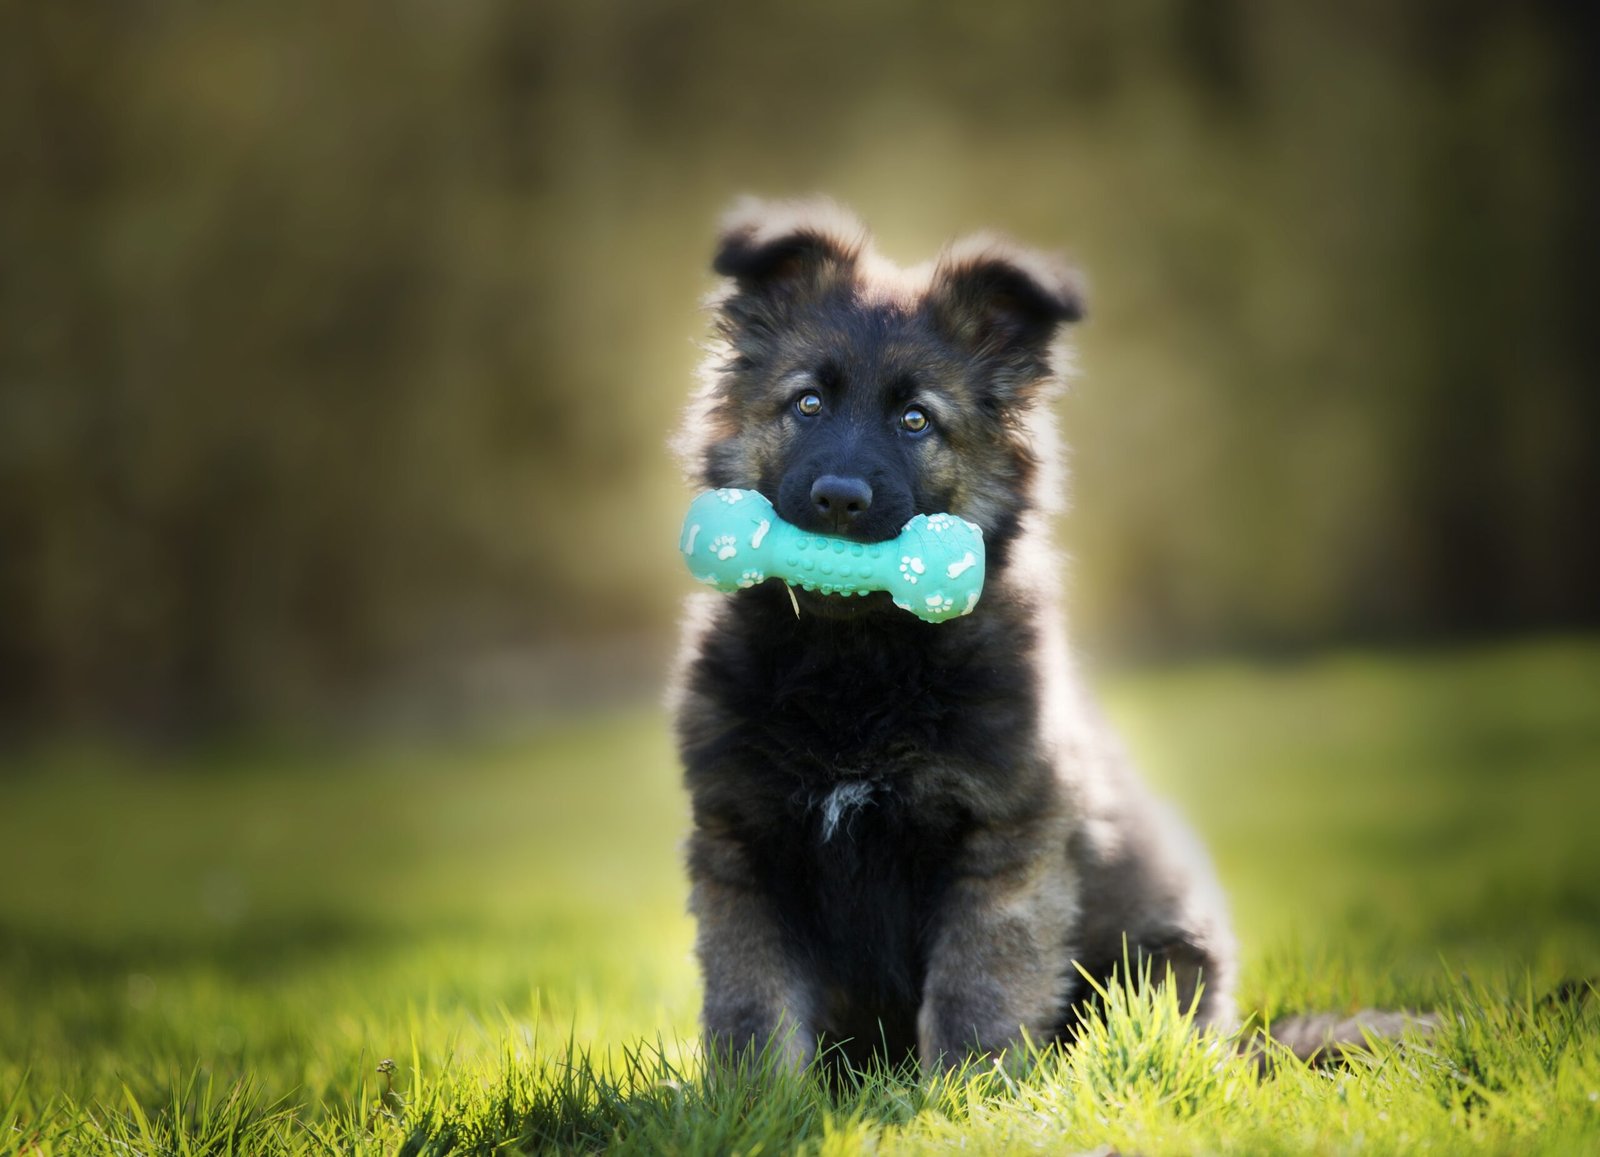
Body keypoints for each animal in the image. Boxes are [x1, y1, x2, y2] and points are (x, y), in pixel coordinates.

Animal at [675, 199, 1235, 1075]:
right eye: (808, 404)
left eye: (916, 420)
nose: (839, 499)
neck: (855, 665)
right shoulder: (742, 843)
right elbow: (752, 1007)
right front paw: (754, 1097)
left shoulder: (1003, 845)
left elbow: (978, 991)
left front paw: (963, 1090)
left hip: (1167, 956)